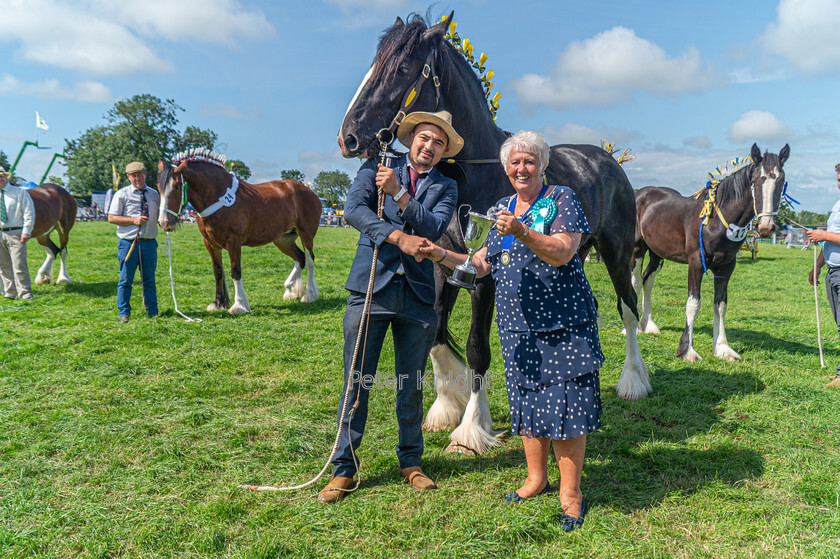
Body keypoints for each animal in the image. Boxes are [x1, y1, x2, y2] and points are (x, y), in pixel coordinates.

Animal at [156, 149, 324, 316]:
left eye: (177, 186)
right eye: (158, 186)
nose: (164, 223)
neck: (217, 196)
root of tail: (310, 192)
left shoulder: (234, 241)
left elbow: (235, 272)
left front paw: (239, 305)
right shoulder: (210, 243)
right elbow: (218, 272)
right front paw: (218, 303)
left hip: (306, 234)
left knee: (309, 260)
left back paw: (309, 295)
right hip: (283, 239)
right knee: (300, 258)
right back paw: (290, 289)